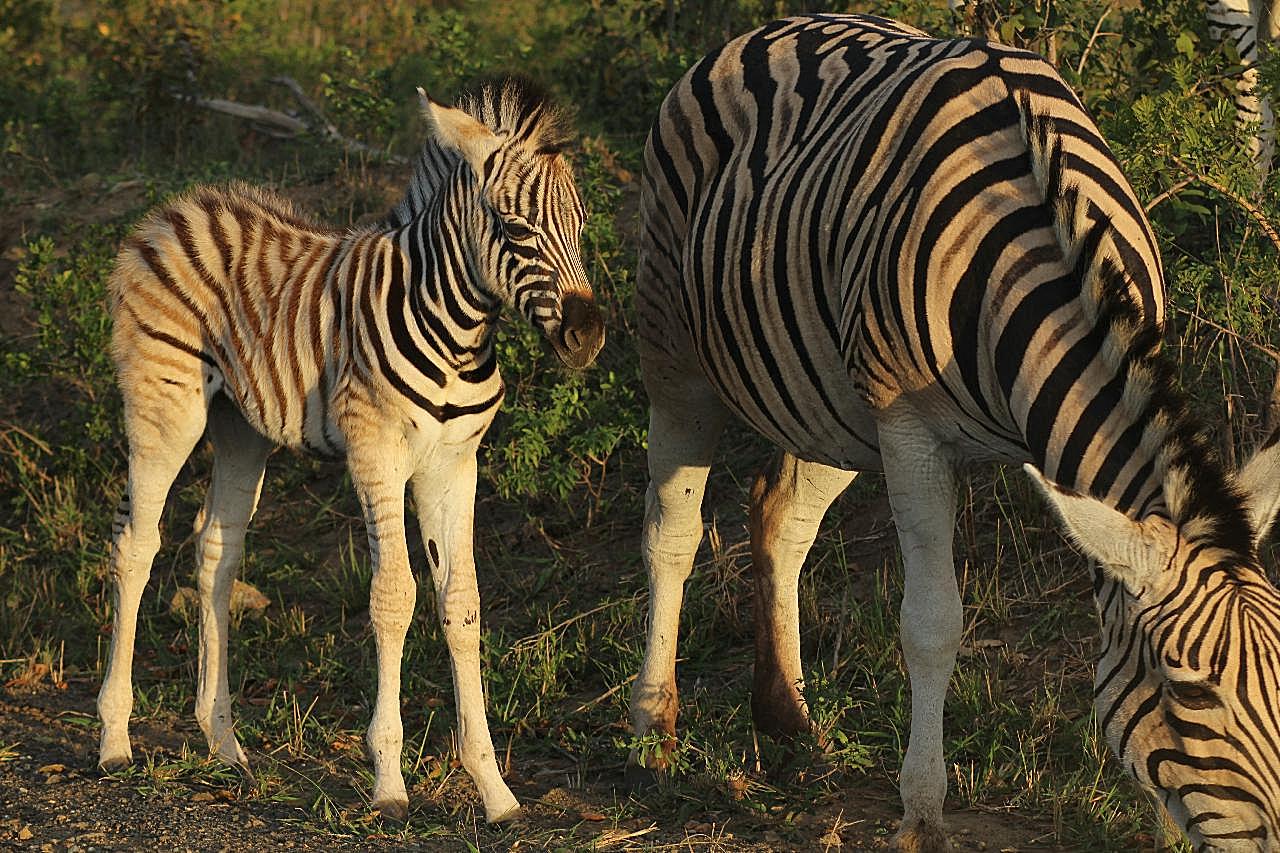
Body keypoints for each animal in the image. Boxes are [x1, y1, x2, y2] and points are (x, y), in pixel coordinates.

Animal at [97, 78, 606, 819]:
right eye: (516, 230)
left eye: (581, 226)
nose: (587, 337)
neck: (456, 331)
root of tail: (179, 206)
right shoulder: (378, 454)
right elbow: (394, 595)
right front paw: (389, 782)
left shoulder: (455, 463)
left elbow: (462, 602)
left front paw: (494, 788)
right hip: (165, 407)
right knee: (135, 545)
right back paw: (113, 740)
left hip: (240, 427)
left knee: (216, 551)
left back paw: (224, 743)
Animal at [632, 14, 1280, 850]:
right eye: (1191, 695)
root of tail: (772, 28)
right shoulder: (910, 432)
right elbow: (932, 624)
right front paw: (922, 811)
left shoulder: (887, 413)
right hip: (674, 348)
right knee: (673, 533)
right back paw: (653, 730)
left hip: (832, 398)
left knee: (782, 514)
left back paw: (789, 722)